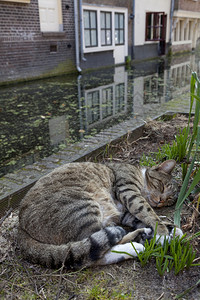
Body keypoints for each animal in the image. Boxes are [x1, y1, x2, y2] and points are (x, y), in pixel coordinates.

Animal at [17, 161, 183, 268]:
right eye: (162, 186)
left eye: (169, 200)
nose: (161, 201)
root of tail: (21, 227)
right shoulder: (129, 191)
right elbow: (148, 213)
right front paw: (163, 233)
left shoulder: (124, 213)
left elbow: (141, 218)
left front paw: (171, 229)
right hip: (84, 207)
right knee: (94, 254)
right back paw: (137, 244)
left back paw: (143, 237)